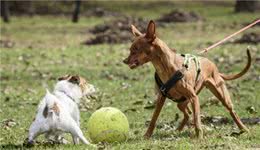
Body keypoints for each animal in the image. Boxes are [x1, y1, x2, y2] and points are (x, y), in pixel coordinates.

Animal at [124, 20, 252, 139]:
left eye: (136, 49)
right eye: (130, 49)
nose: (124, 61)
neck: (166, 68)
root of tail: (214, 67)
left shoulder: (194, 97)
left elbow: (197, 120)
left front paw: (199, 137)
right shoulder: (161, 97)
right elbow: (154, 118)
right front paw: (147, 135)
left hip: (221, 95)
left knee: (232, 111)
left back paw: (243, 129)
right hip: (182, 102)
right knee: (188, 113)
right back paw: (178, 129)